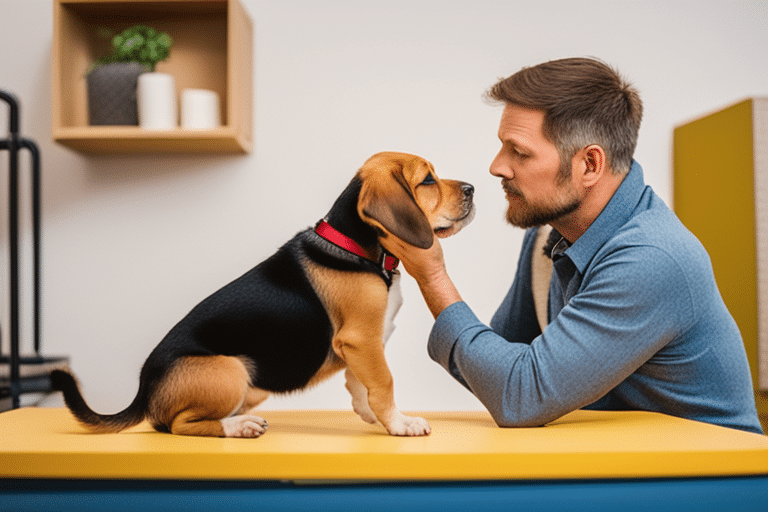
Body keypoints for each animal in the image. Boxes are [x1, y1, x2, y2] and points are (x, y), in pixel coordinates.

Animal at [52, 151, 474, 436]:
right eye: (428, 181)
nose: (472, 188)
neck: (356, 246)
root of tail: (145, 389)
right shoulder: (361, 338)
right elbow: (383, 382)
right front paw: (399, 423)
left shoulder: (362, 346)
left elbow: (361, 383)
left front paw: (373, 415)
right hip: (230, 369)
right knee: (180, 424)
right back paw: (237, 428)